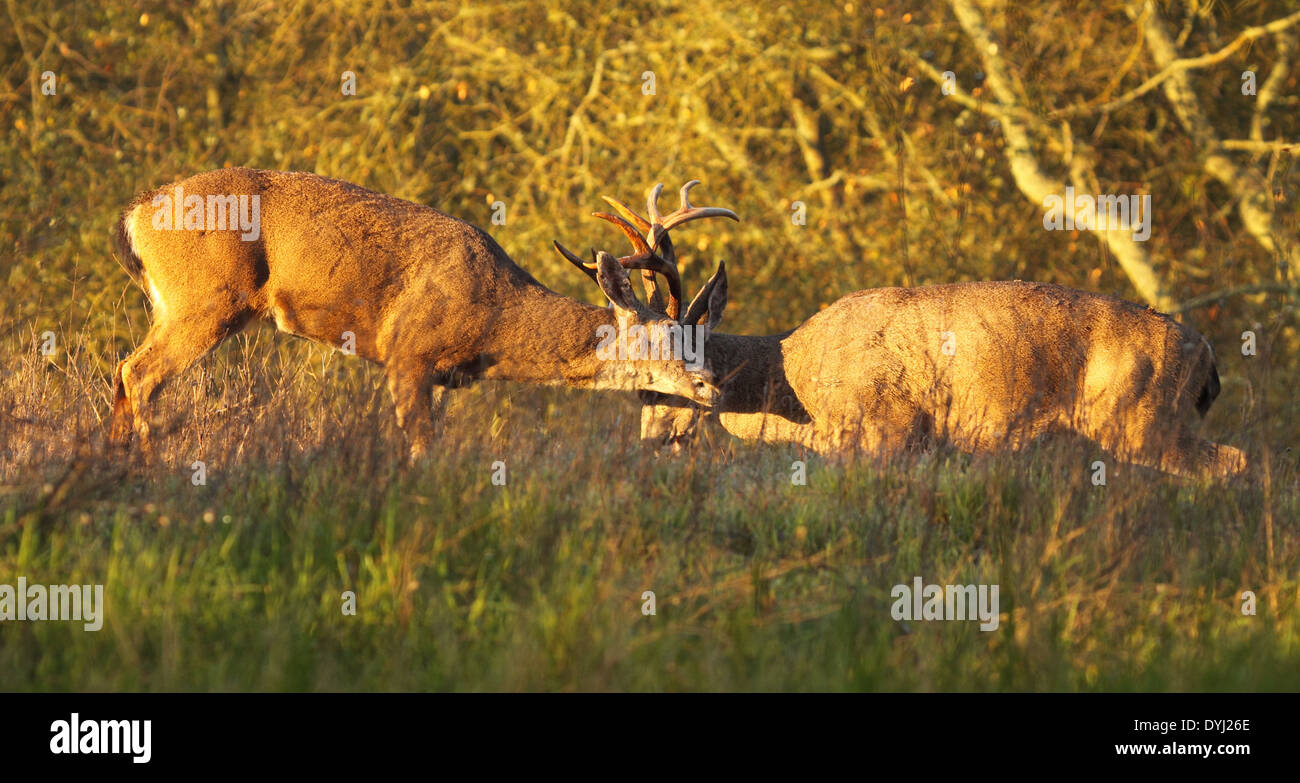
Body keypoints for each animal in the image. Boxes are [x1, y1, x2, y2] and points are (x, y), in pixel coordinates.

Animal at [107, 164, 733, 457]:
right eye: (666, 338)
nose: (712, 386)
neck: (494, 317)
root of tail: (135, 214)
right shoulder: (408, 354)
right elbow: (422, 449)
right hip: (203, 303)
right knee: (139, 372)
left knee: (123, 372)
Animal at [556, 180, 1248, 478]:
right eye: (638, 386)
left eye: (676, 371)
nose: (654, 443)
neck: (794, 383)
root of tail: (1207, 353)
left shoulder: (886, 431)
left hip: (1141, 418)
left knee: (1232, 463)